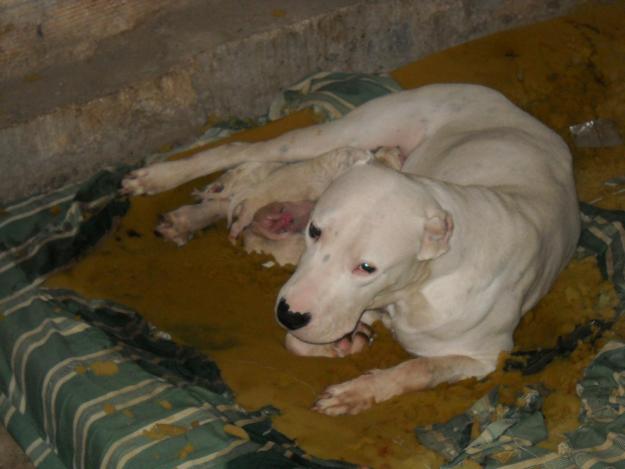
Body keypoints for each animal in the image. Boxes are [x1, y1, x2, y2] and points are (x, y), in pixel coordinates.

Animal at [122, 84, 580, 414]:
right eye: (315, 230)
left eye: (367, 267)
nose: (287, 313)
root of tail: (505, 104)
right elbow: (299, 341)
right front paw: (345, 344)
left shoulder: (484, 357)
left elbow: (417, 368)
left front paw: (358, 385)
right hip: (346, 133)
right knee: (244, 152)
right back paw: (160, 178)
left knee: (246, 189)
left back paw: (193, 217)